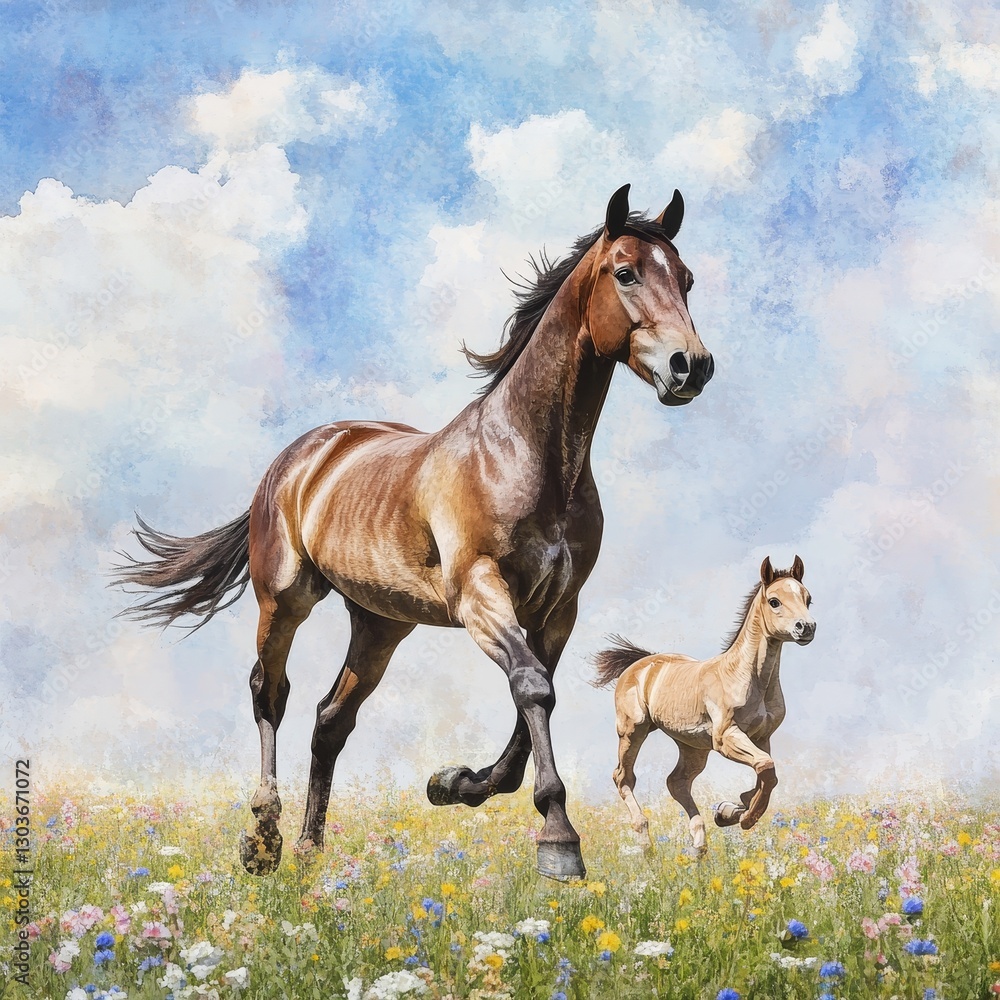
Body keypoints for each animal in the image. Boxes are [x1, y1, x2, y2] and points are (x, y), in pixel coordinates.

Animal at [113, 184, 714, 881]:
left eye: (686, 279)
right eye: (625, 272)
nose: (691, 367)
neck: (525, 454)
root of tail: (301, 455)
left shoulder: (558, 610)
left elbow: (535, 696)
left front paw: (455, 783)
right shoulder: (481, 595)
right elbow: (532, 687)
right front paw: (559, 840)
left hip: (381, 624)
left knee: (330, 719)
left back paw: (310, 851)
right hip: (285, 599)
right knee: (271, 693)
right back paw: (263, 838)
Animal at [592, 556, 815, 854]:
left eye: (808, 599)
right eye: (774, 601)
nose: (807, 627)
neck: (747, 677)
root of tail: (640, 664)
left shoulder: (762, 737)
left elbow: (767, 773)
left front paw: (728, 811)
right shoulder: (725, 738)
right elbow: (766, 768)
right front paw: (745, 817)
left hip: (692, 747)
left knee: (677, 782)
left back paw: (698, 846)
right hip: (633, 731)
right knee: (623, 777)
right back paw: (646, 844)